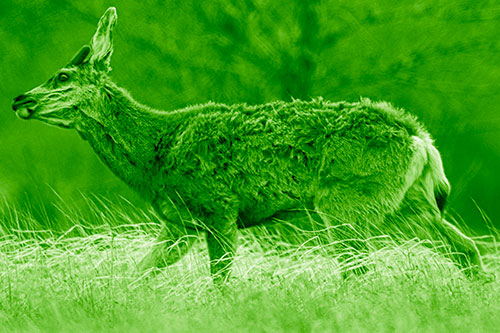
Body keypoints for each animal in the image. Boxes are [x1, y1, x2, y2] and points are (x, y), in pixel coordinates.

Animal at [10, 6, 484, 278]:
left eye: (63, 77)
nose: (19, 99)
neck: (155, 154)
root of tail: (420, 140)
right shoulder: (179, 224)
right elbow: (137, 276)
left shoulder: (217, 209)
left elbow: (221, 282)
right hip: (407, 204)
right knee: (466, 250)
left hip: (348, 202)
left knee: (359, 268)